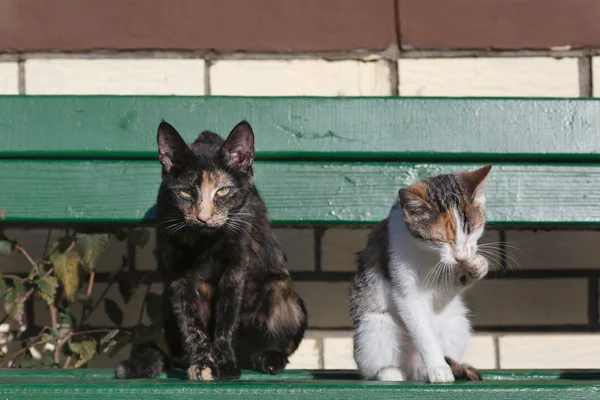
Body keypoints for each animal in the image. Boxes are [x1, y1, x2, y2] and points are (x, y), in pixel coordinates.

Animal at [115, 120, 308, 380]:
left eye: (223, 191)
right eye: (186, 192)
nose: (203, 217)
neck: (206, 242)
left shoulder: (236, 268)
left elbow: (226, 319)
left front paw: (225, 364)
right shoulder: (177, 277)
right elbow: (192, 325)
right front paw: (203, 364)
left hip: (280, 287)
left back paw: (268, 358)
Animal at [346, 166, 492, 384]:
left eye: (472, 230)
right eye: (441, 239)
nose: (461, 255)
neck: (429, 254)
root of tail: (414, 371)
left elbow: (444, 292)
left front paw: (476, 267)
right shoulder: (403, 282)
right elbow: (421, 329)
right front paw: (438, 367)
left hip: (456, 323)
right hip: (373, 327)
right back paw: (390, 372)